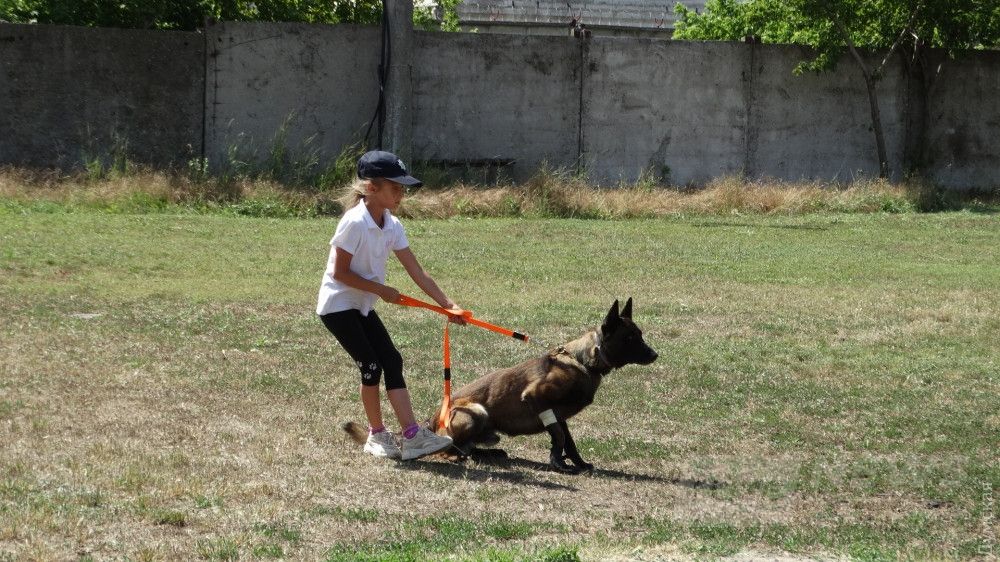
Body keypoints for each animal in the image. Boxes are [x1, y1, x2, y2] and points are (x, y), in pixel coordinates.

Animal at [344, 296, 656, 470]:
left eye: (640, 334)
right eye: (630, 337)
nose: (655, 354)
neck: (583, 360)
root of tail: (430, 422)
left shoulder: (559, 413)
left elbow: (569, 440)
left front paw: (576, 463)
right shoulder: (537, 398)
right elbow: (558, 436)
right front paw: (558, 464)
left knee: (469, 447)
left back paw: (490, 454)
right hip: (476, 412)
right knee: (449, 450)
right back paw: (461, 457)